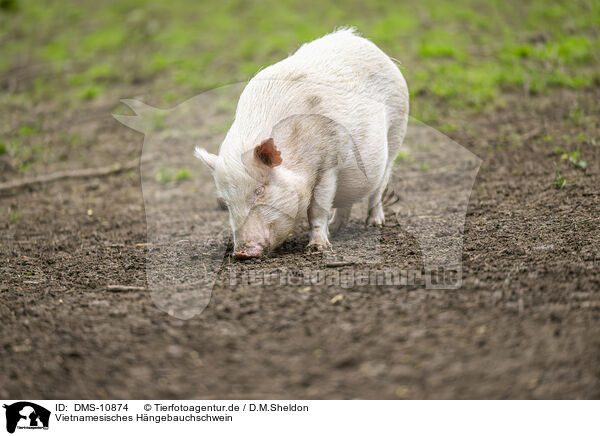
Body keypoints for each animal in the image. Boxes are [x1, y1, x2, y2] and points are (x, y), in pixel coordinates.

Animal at [196, 28, 408, 258]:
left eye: (259, 191)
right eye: (226, 202)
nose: (242, 253)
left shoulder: (327, 165)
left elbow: (317, 209)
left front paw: (318, 247)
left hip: (396, 134)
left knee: (379, 187)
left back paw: (374, 224)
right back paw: (337, 228)